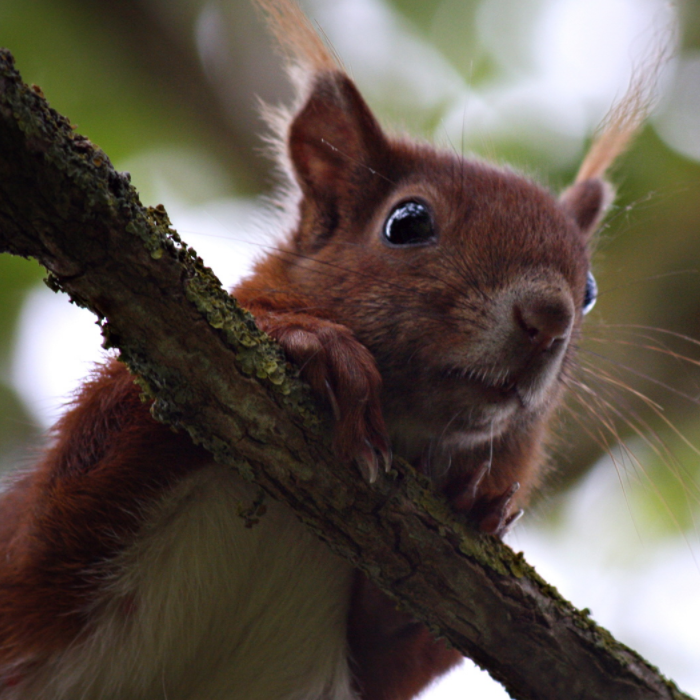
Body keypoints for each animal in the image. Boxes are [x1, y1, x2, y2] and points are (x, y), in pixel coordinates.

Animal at [0, 1, 652, 700]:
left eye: (590, 291)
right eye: (407, 222)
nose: (549, 318)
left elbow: (393, 645)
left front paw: (466, 510)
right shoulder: (35, 588)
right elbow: (54, 527)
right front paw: (308, 343)